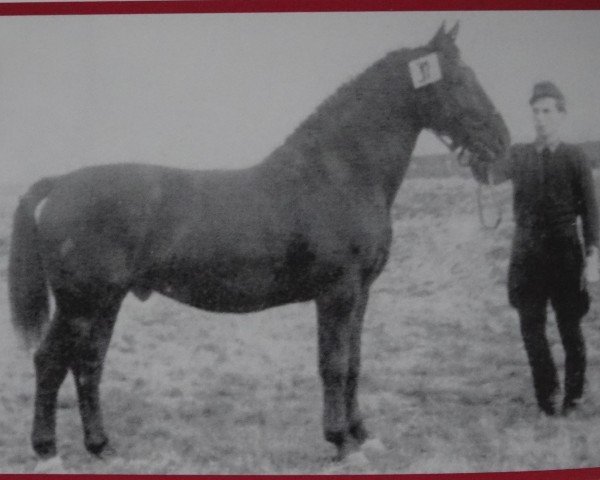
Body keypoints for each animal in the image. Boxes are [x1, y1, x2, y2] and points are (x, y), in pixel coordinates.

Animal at [8, 23, 506, 462]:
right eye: (460, 79)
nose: (502, 144)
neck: (340, 174)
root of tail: (61, 184)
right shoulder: (338, 292)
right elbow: (333, 363)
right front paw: (341, 442)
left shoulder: (362, 292)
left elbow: (355, 363)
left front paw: (362, 435)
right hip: (81, 303)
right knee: (51, 362)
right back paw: (48, 450)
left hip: (104, 303)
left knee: (87, 366)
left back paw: (101, 446)